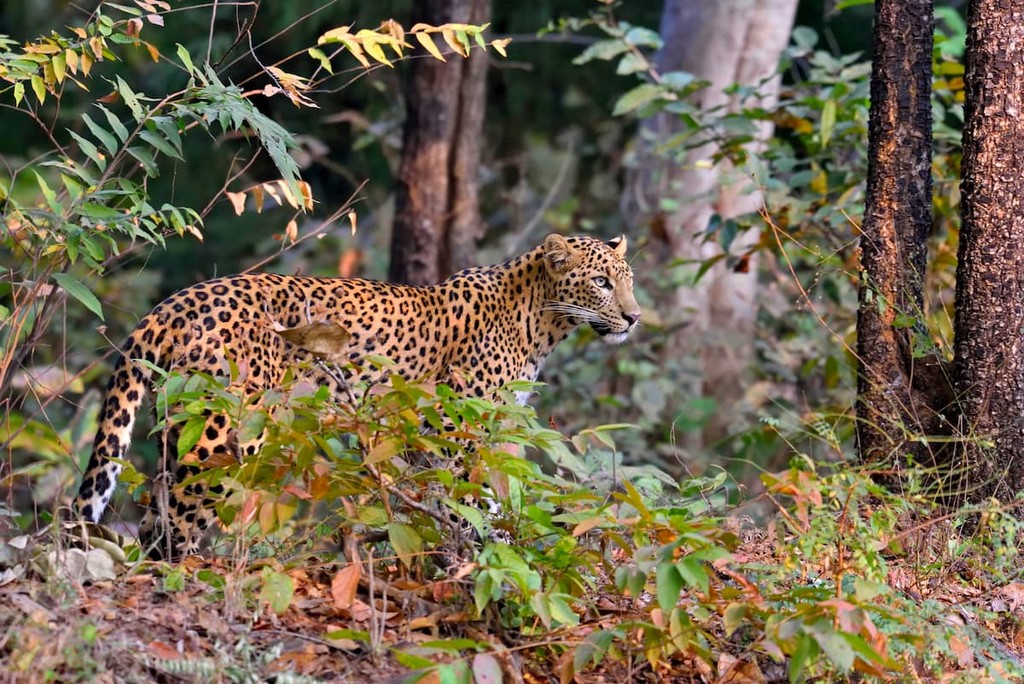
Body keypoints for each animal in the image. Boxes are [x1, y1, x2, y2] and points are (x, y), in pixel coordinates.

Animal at [73, 233, 641, 558]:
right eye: (601, 283)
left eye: (627, 280)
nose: (634, 317)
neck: (542, 321)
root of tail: (174, 301)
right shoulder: (456, 430)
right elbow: (470, 502)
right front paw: (490, 557)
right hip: (225, 433)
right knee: (177, 519)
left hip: (183, 423)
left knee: (155, 512)